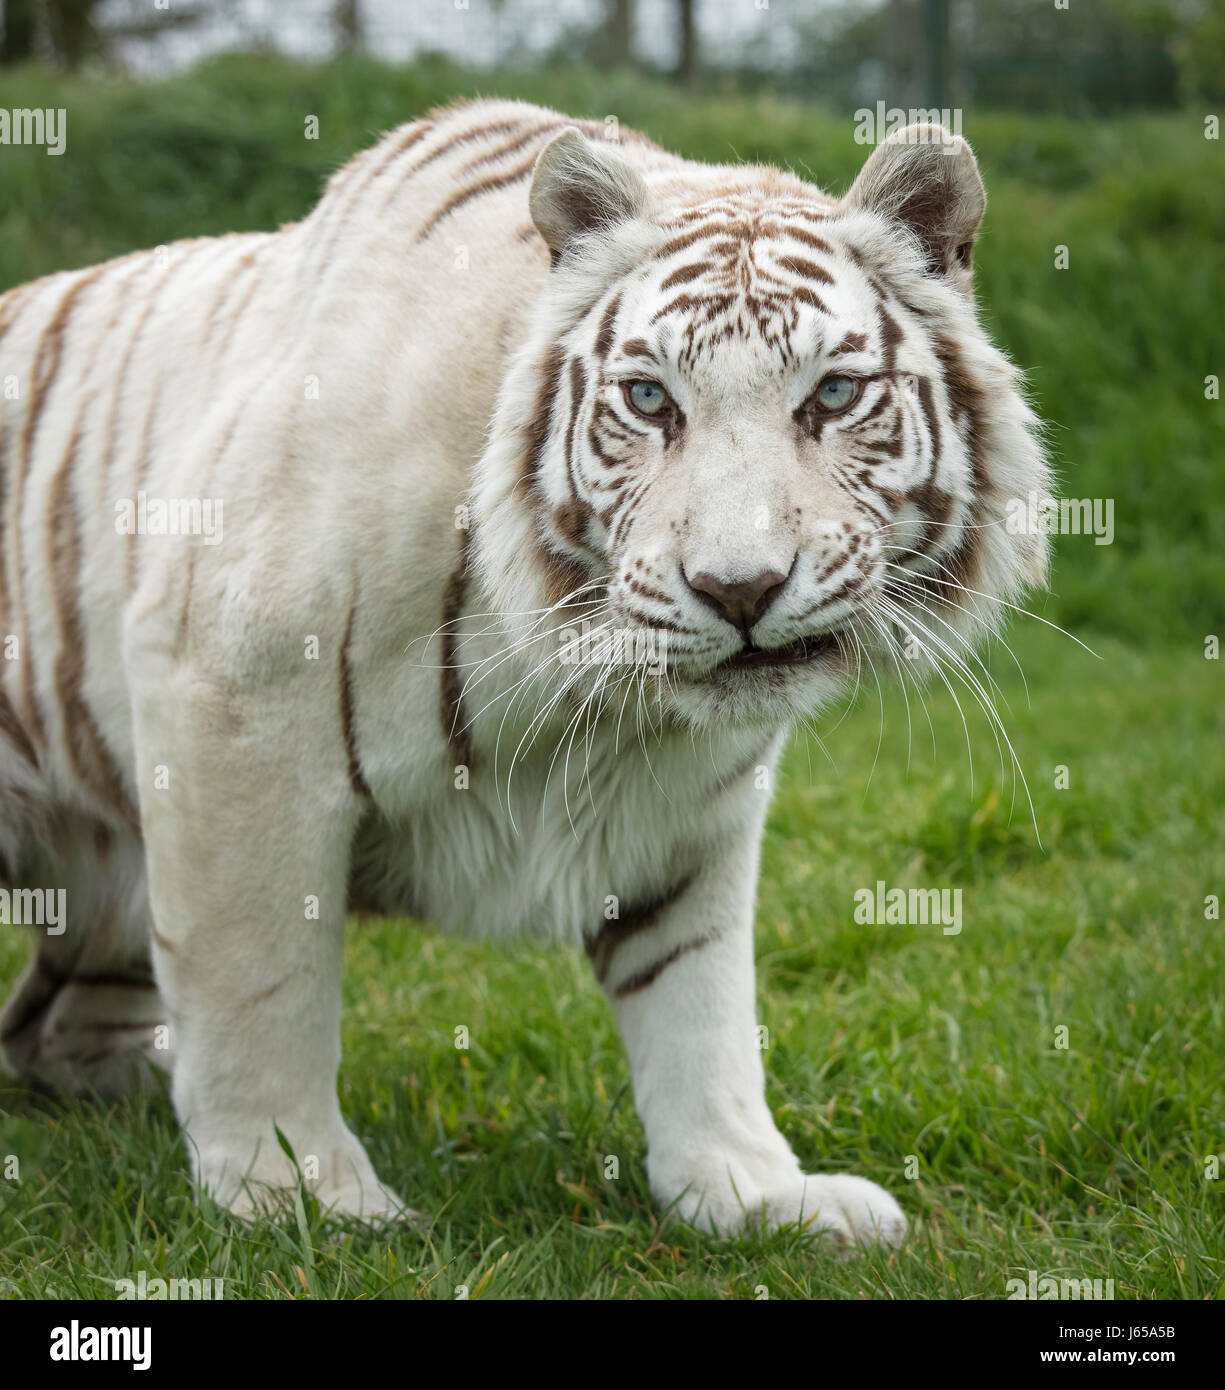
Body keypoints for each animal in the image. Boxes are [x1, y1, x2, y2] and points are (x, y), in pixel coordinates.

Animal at [2, 100, 1040, 1251]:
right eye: (649, 399)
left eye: (835, 393)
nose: (737, 588)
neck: (590, 687)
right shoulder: (230, 688)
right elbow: (259, 980)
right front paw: (297, 1197)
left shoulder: (694, 808)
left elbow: (700, 1006)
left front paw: (749, 1195)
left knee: (50, 1031)